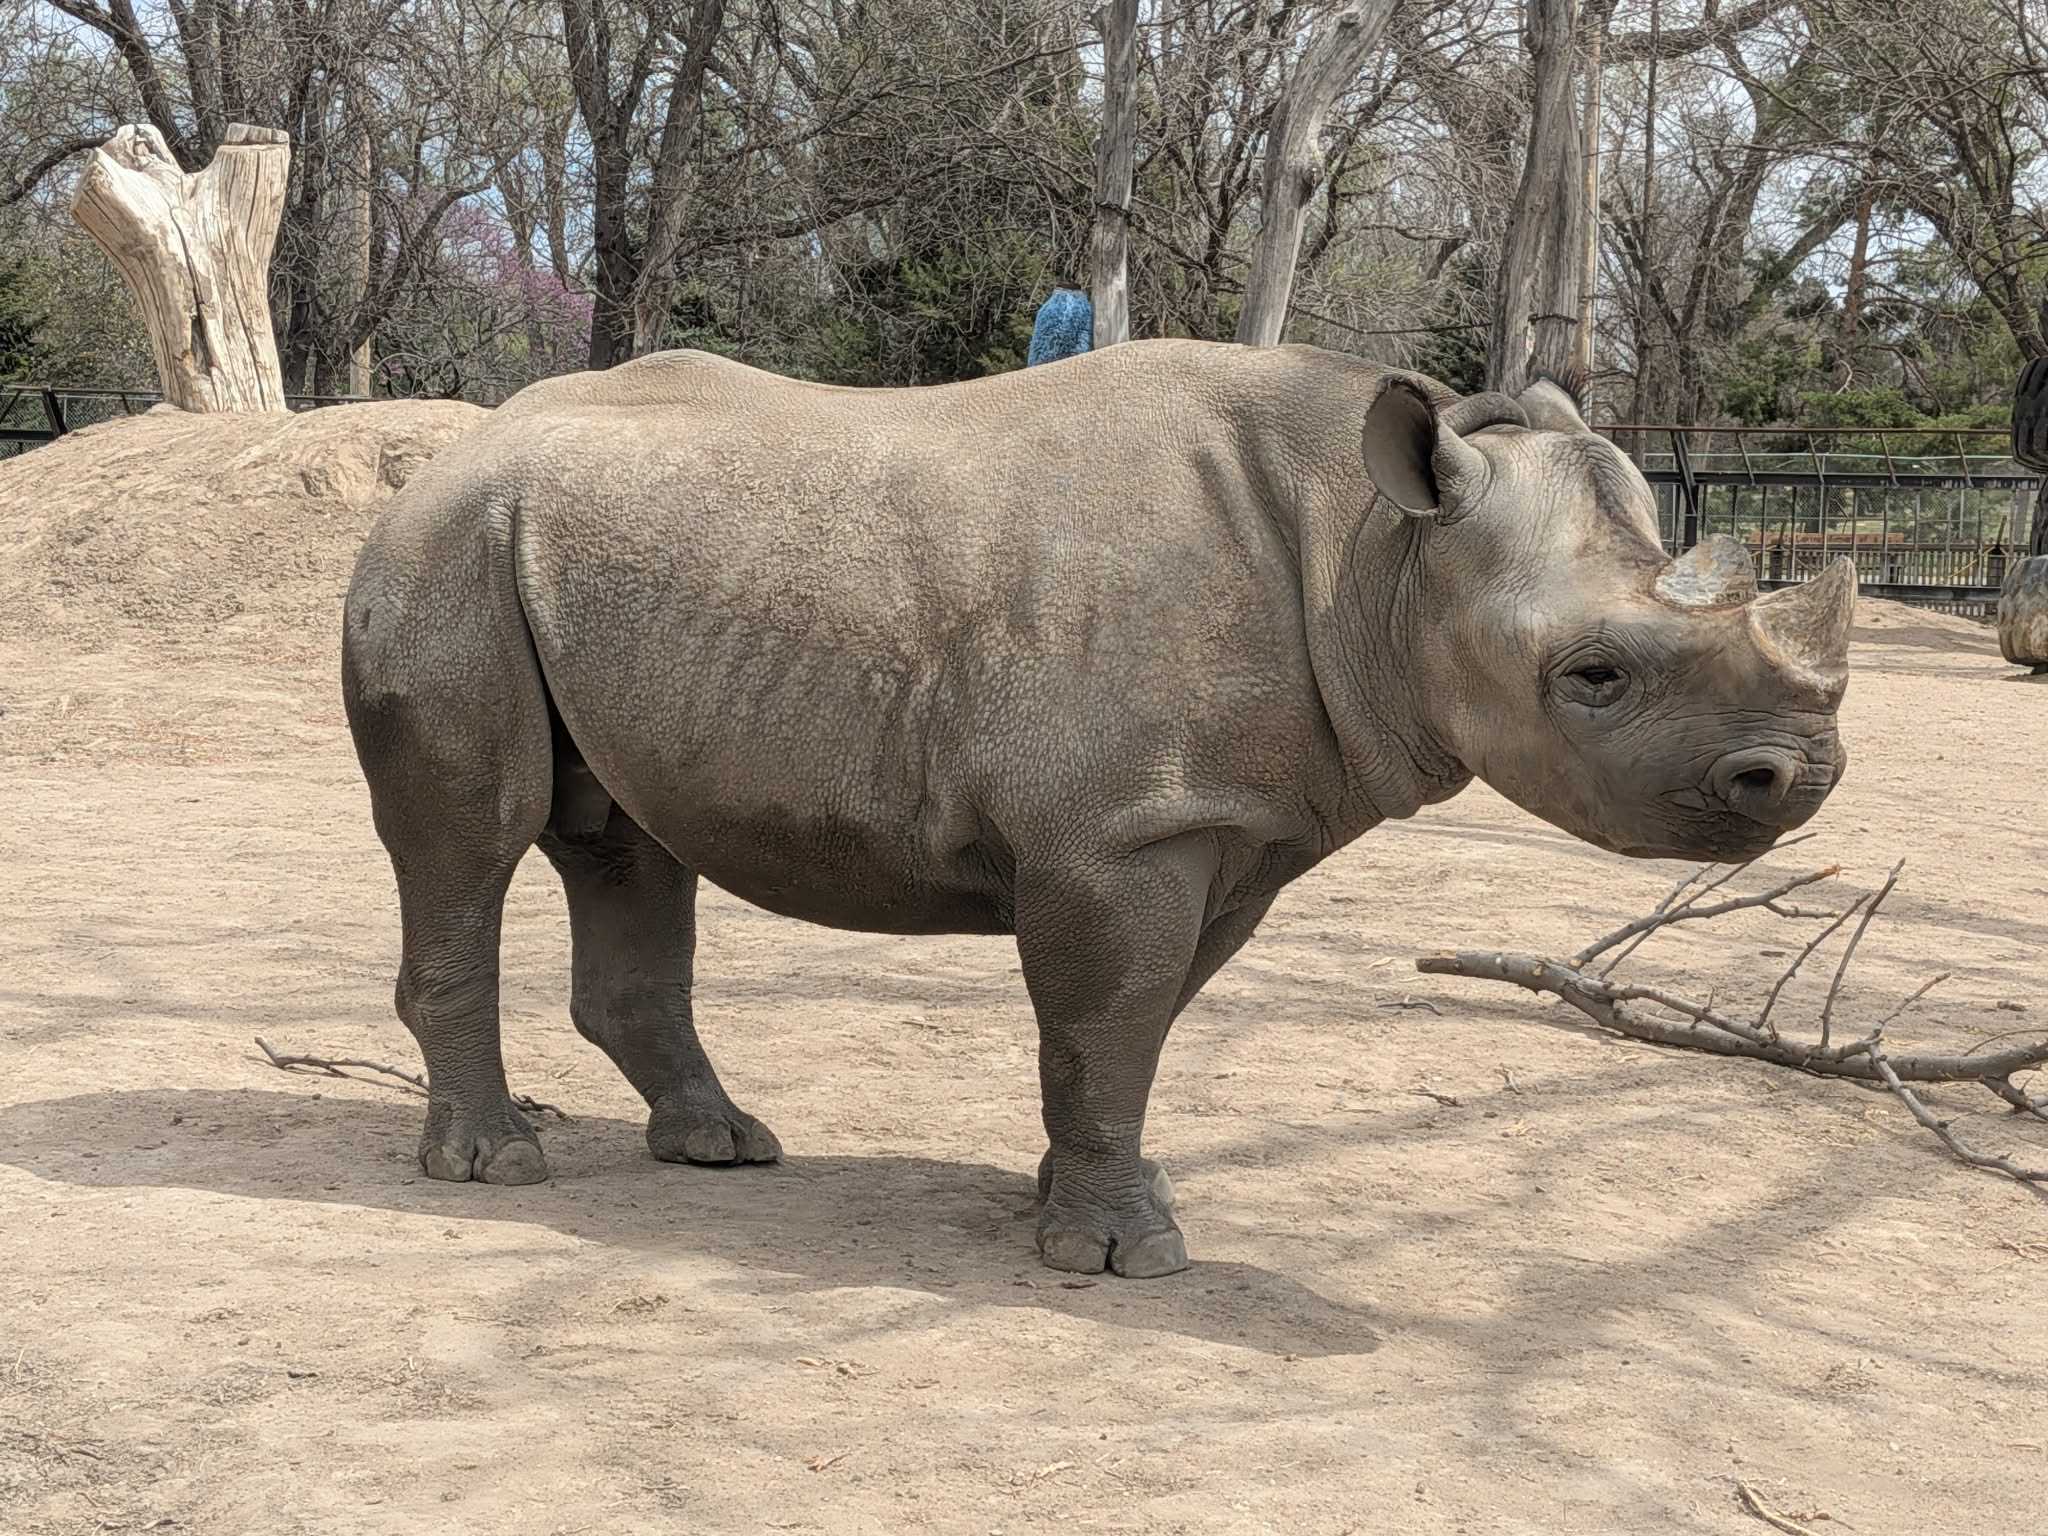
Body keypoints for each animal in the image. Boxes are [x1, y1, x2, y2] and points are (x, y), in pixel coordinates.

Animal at [342, 340, 1854, 1278]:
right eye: (1591, 677)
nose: (1802, 777)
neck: (1373, 548)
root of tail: (444, 459)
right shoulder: (1124, 829)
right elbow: (1110, 1016)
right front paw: (1122, 1257)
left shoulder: (1230, 824)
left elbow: (1135, 1025)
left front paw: (1085, 1201)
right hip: (444, 552)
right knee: (475, 835)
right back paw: (495, 1167)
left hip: (566, 559)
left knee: (624, 840)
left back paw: (722, 1150)